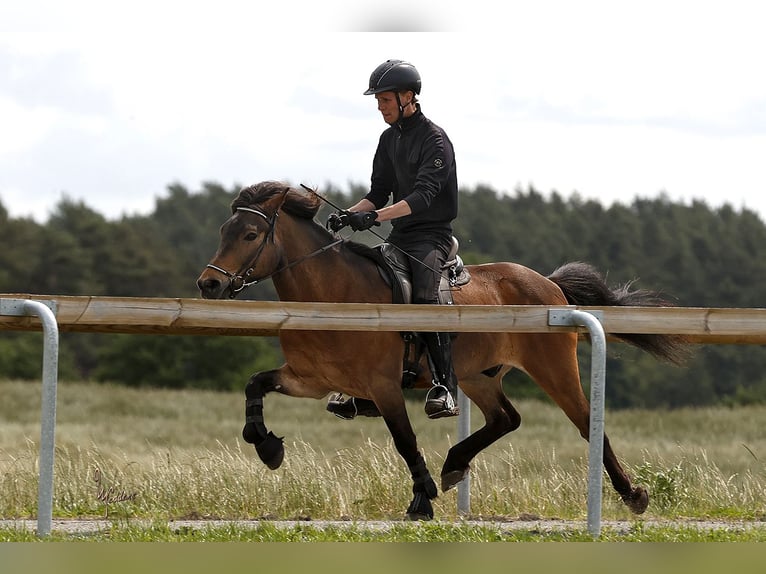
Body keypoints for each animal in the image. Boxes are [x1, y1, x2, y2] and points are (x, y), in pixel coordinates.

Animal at [196, 180, 689, 520]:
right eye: (224, 230)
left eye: (250, 234)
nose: (209, 284)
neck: (333, 294)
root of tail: (549, 284)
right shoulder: (309, 379)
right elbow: (254, 384)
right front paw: (266, 446)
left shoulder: (383, 386)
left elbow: (404, 440)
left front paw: (422, 498)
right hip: (477, 376)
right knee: (506, 419)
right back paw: (454, 464)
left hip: (553, 369)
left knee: (588, 423)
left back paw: (633, 495)